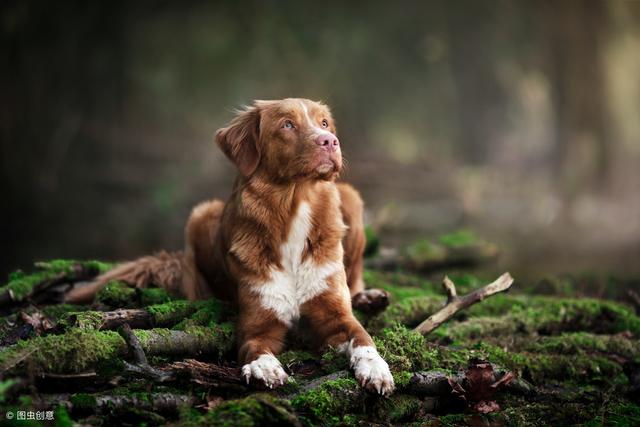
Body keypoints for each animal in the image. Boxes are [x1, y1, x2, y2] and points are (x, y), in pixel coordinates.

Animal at [66, 98, 396, 396]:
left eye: (324, 123)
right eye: (287, 125)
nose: (330, 141)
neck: (294, 207)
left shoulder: (335, 315)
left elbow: (364, 338)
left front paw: (376, 369)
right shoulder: (257, 324)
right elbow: (254, 346)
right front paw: (264, 367)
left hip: (350, 197)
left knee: (355, 280)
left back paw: (368, 298)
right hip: (200, 215)